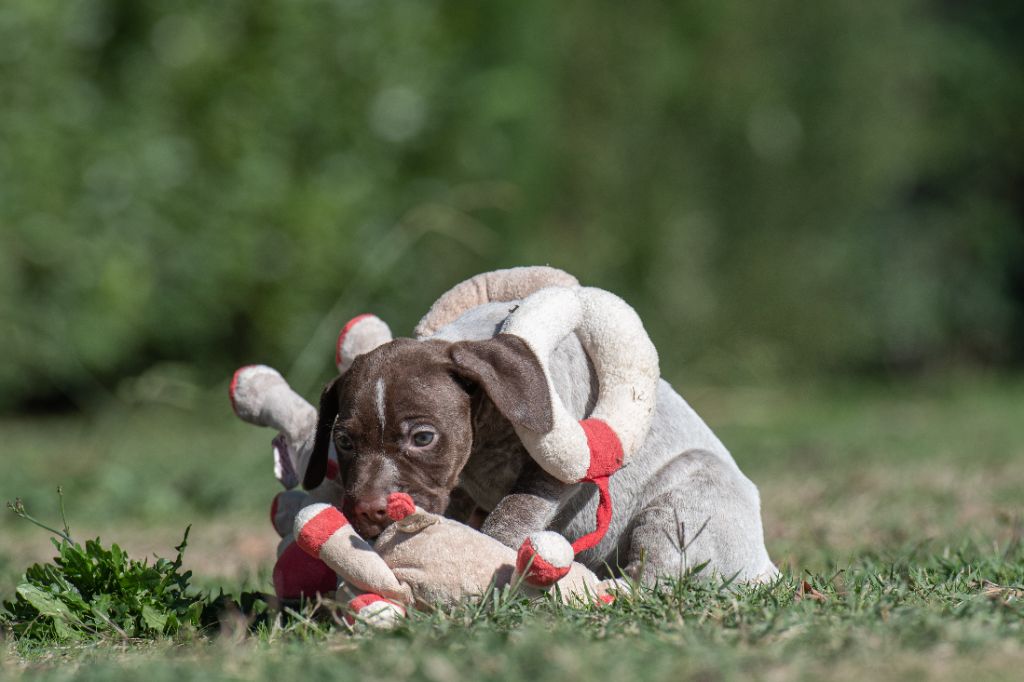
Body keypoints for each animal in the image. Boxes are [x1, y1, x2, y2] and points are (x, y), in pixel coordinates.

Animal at [303, 299, 774, 585]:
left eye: (423, 437)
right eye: (343, 441)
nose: (368, 510)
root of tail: (765, 566)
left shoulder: (559, 459)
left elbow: (512, 514)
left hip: (688, 492)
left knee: (658, 578)